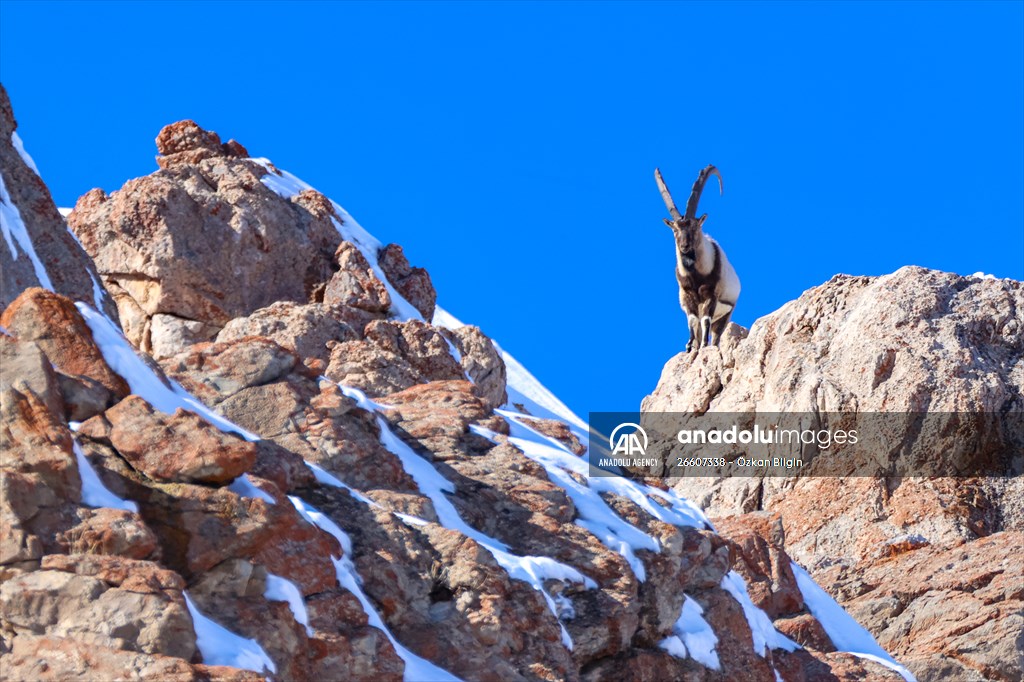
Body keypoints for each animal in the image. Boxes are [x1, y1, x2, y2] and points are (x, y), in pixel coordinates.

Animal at [655, 165, 740, 352]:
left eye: (694, 227)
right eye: (675, 230)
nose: (684, 247)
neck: (696, 275)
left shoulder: (711, 295)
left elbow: (705, 321)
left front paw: (703, 346)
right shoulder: (688, 296)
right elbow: (693, 321)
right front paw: (689, 347)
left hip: (725, 315)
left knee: (715, 333)